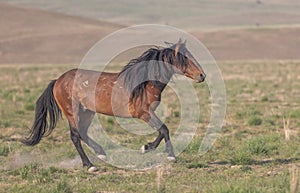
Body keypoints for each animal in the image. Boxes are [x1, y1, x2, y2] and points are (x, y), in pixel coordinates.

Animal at [22, 39, 206, 172]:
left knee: (82, 133)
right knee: (75, 136)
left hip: (87, 112)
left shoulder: (148, 113)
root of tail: (57, 81)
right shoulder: (144, 113)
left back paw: (101, 154)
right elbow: (164, 129)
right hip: (72, 112)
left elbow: (162, 130)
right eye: (185, 57)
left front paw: (147, 148)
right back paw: (90, 165)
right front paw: (167, 155)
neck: (145, 83)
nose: (202, 75)